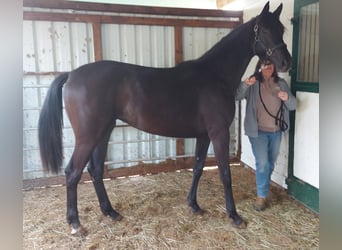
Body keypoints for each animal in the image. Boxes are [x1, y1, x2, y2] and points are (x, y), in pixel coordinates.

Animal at [39, 1, 292, 234]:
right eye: (265, 30)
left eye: (282, 29)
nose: (285, 62)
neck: (215, 76)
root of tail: (71, 75)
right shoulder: (218, 133)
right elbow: (225, 173)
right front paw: (234, 216)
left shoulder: (204, 135)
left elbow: (198, 167)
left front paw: (194, 205)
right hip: (88, 137)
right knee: (73, 173)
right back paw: (75, 224)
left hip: (103, 133)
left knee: (95, 170)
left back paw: (110, 212)